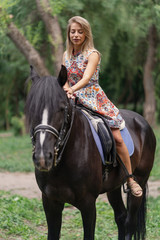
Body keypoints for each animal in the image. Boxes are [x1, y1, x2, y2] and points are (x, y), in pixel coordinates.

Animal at [25, 65, 156, 240]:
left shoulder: (88, 204)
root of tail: (142, 121)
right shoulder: (50, 202)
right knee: (121, 217)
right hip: (113, 187)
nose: (42, 158)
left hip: (140, 181)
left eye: (61, 108)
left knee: (130, 222)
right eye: (32, 109)